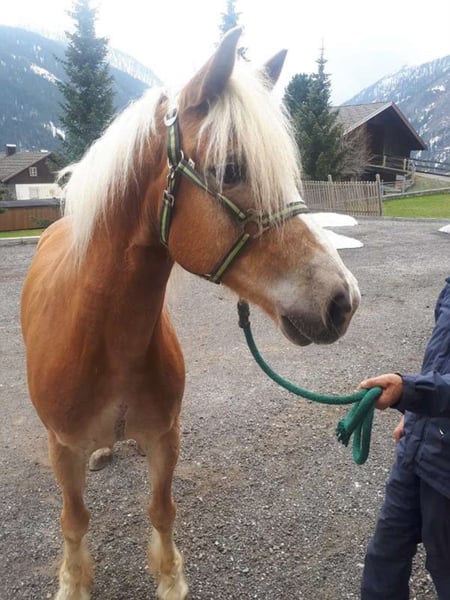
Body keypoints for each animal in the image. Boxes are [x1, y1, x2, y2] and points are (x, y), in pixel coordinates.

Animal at [20, 28, 360, 600]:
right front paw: (73, 582)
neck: (101, 341)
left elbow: (162, 510)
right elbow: (74, 520)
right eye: (230, 169)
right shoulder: (62, 451)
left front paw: (170, 578)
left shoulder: (165, 438)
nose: (343, 300)